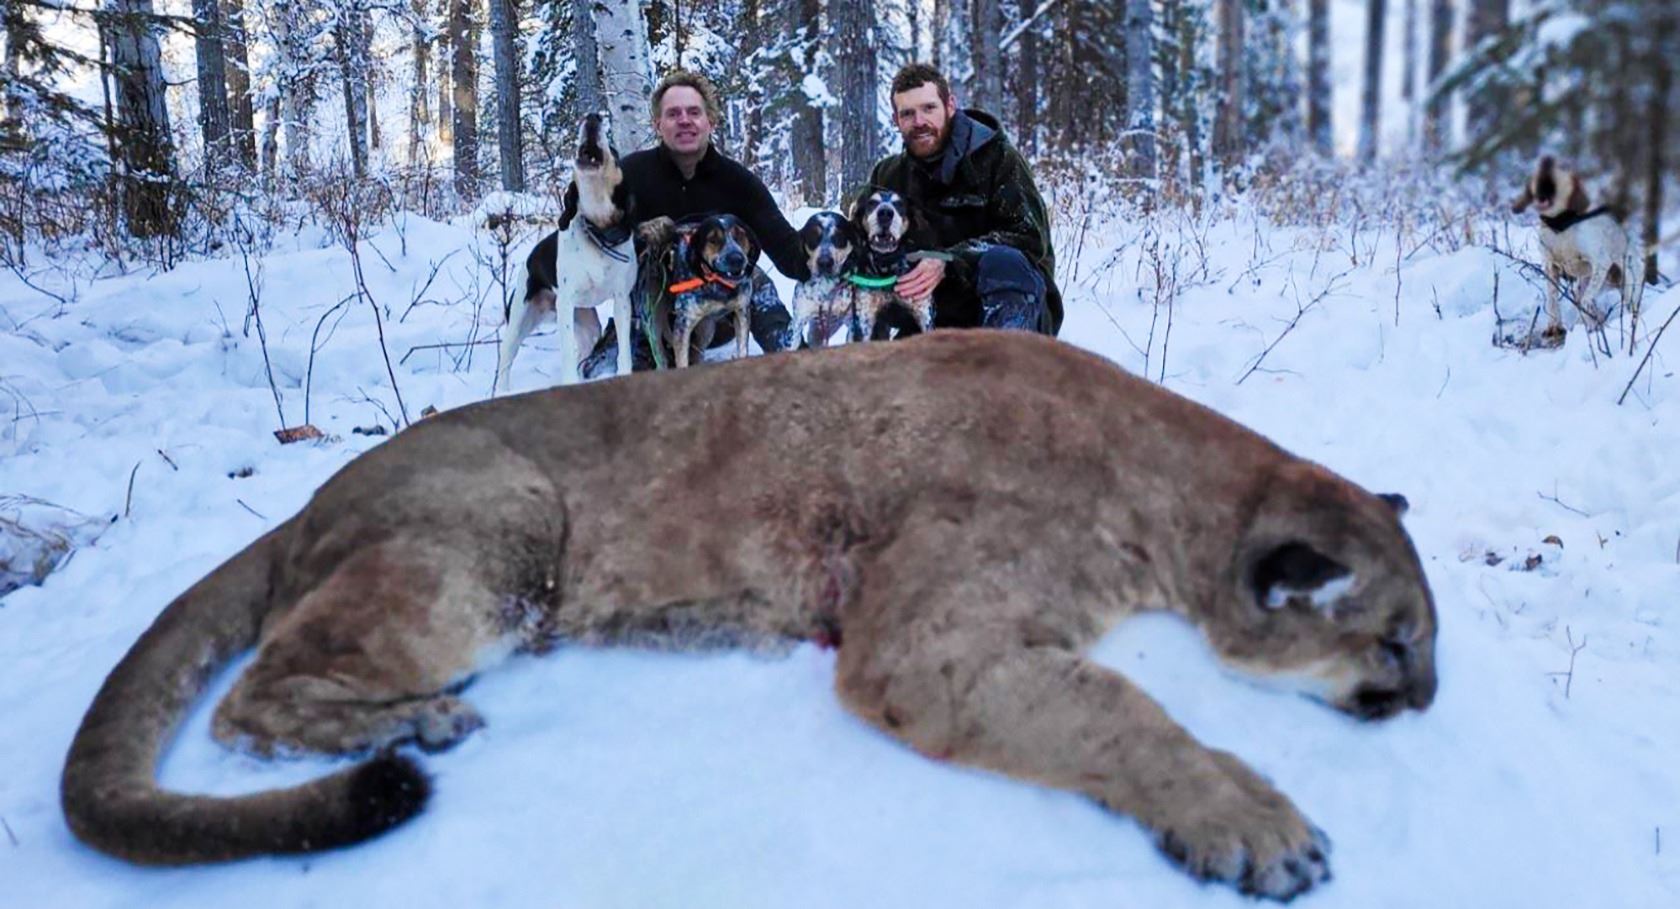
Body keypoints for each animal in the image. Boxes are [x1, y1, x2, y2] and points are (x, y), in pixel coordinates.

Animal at [497, 112, 637, 392]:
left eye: (614, 150)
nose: (593, 117)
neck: (598, 230)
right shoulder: (566, 303)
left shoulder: (621, 301)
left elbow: (625, 352)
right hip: (519, 321)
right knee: (505, 363)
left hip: (588, 326)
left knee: (582, 354)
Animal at [642, 214, 761, 369]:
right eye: (712, 239)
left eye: (739, 235)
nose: (736, 258)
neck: (719, 286)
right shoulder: (683, 325)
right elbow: (682, 361)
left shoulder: (741, 311)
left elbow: (742, 349)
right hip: (653, 324)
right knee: (661, 356)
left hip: (707, 328)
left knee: (698, 353)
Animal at [848, 189, 934, 342]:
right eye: (872, 203)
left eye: (899, 204)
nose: (885, 213)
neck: (886, 264)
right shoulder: (864, 319)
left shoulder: (924, 313)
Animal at [1511, 156, 1650, 341]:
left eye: (1560, 166)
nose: (1546, 159)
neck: (1560, 226)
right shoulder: (1550, 267)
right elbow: (1552, 301)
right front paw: (1554, 327)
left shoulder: (1601, 261)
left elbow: (1586, 300)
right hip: (1582, 285)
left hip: (1629, 284)